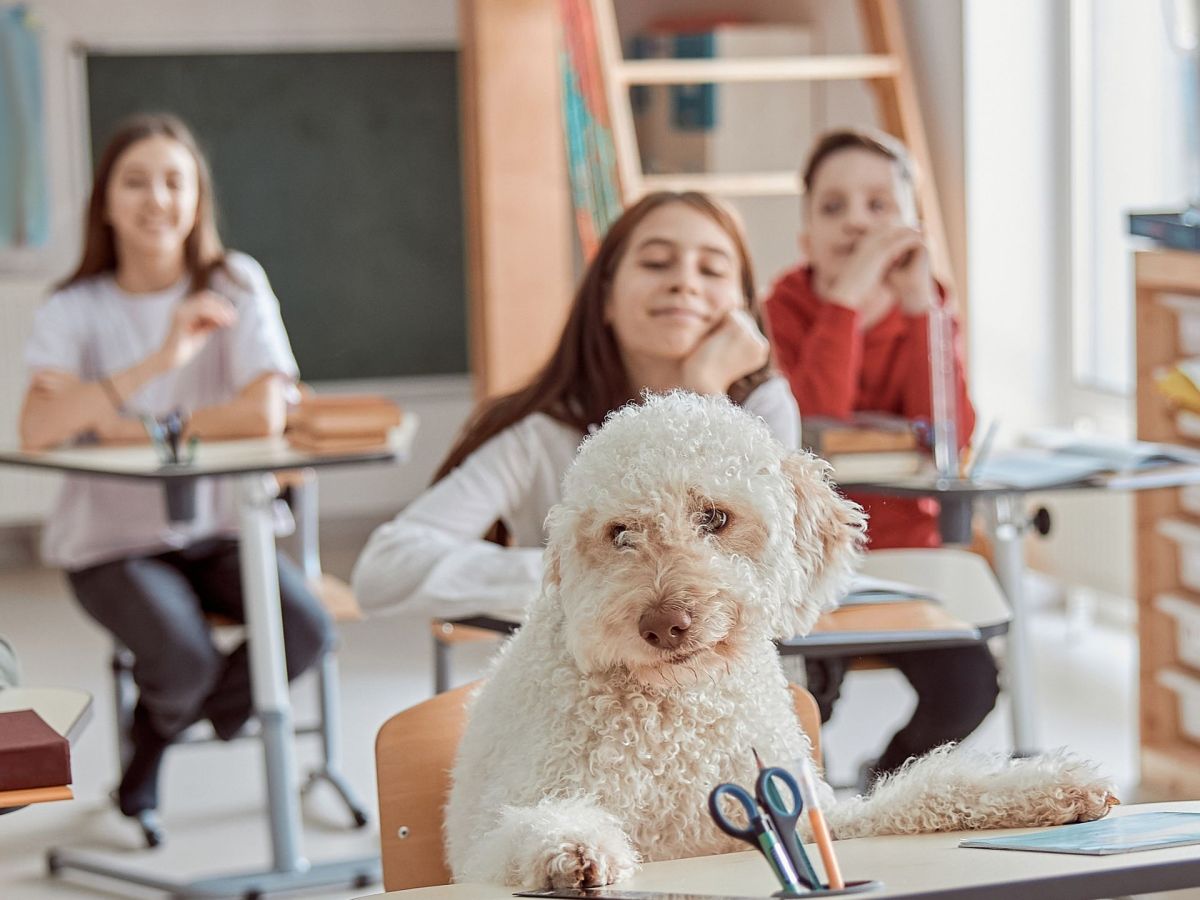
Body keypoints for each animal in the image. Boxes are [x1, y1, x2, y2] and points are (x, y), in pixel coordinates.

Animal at [446, 393, 1118, 888]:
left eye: (713, 517)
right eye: (620, 533)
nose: (663, 624)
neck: (680, 708)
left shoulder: (824, 813)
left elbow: (929, 789)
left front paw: (1046, 787)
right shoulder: (494, 838)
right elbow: (524, 832)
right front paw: (570, 847)